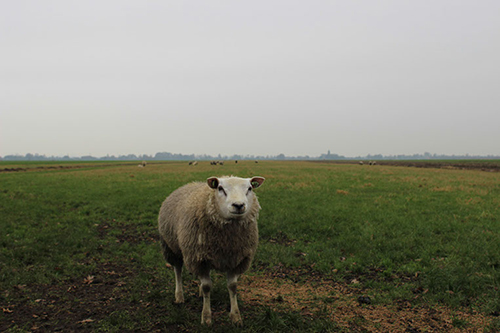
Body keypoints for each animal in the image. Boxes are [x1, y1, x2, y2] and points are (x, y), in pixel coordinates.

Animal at [158, 175, 266, 326]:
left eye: (250, 188)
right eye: (220, 188)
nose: (238, 205)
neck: (226, 241)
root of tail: (190, 184)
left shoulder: (235, 258)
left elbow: (232, 286)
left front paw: (235, 316)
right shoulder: (199, 259)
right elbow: (207, 287)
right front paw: (206, 317)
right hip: (171, 248)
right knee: (178, 270)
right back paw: (179, 296)